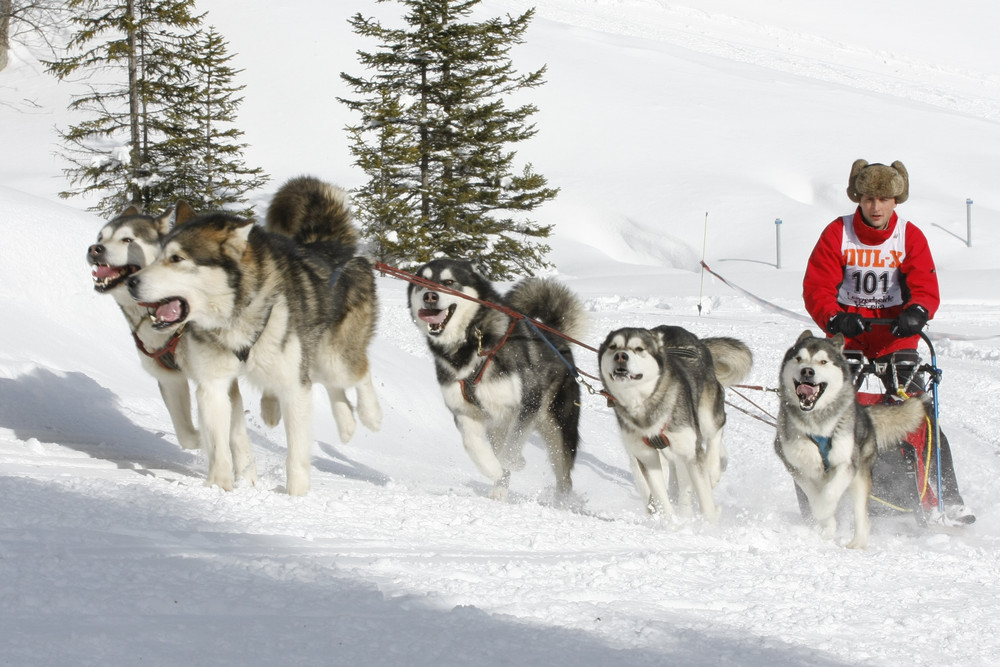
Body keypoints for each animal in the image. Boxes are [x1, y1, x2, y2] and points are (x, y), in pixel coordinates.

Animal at [126, 177, 382, 496]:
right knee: (331, 387)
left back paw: (370, 415)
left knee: (358, 372)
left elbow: (296, 454)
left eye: (176, 258)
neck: (235, 318)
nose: (130, 282)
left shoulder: (294, 387)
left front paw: (296, 495)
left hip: (333, 357)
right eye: (158, 256)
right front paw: (218, 487)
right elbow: (217, 444)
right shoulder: (212, 384)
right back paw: (337, 423)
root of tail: (329, 245)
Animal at [406, 258, 584, 498]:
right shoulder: (463, 411)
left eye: (449, 282)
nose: (430, 296)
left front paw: (514, 462)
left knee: (564, 476)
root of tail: (555, 336)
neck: (471, 345)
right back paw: (499, 489)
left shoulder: (527, 402)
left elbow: (512, 446)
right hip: (498, 426)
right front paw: (493, 469)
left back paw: (563, 502)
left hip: (558, 428)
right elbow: (472, 445)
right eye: (421, 282)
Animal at [592, 324, 752, 520]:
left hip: (706, 416)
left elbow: (705, 498)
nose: (621, 355)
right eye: (613, 347)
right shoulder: (647, 457)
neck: (642, 404)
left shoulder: (691, 452)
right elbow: (660, 496)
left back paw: (712, 470)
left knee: (716, 430)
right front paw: (672, 523)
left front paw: (708, 524)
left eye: (639, 349)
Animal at [772, 332, 928, 552]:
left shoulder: (847, 464)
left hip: (860, 476)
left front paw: (824, 511)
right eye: (799, 359)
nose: (807, 371)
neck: (817, 424)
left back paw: (858, 542)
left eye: (823, 361)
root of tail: (865, 413)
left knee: (862, 515)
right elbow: (813, 494)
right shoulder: (795, 465)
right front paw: (826, 522)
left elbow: (829, 495)